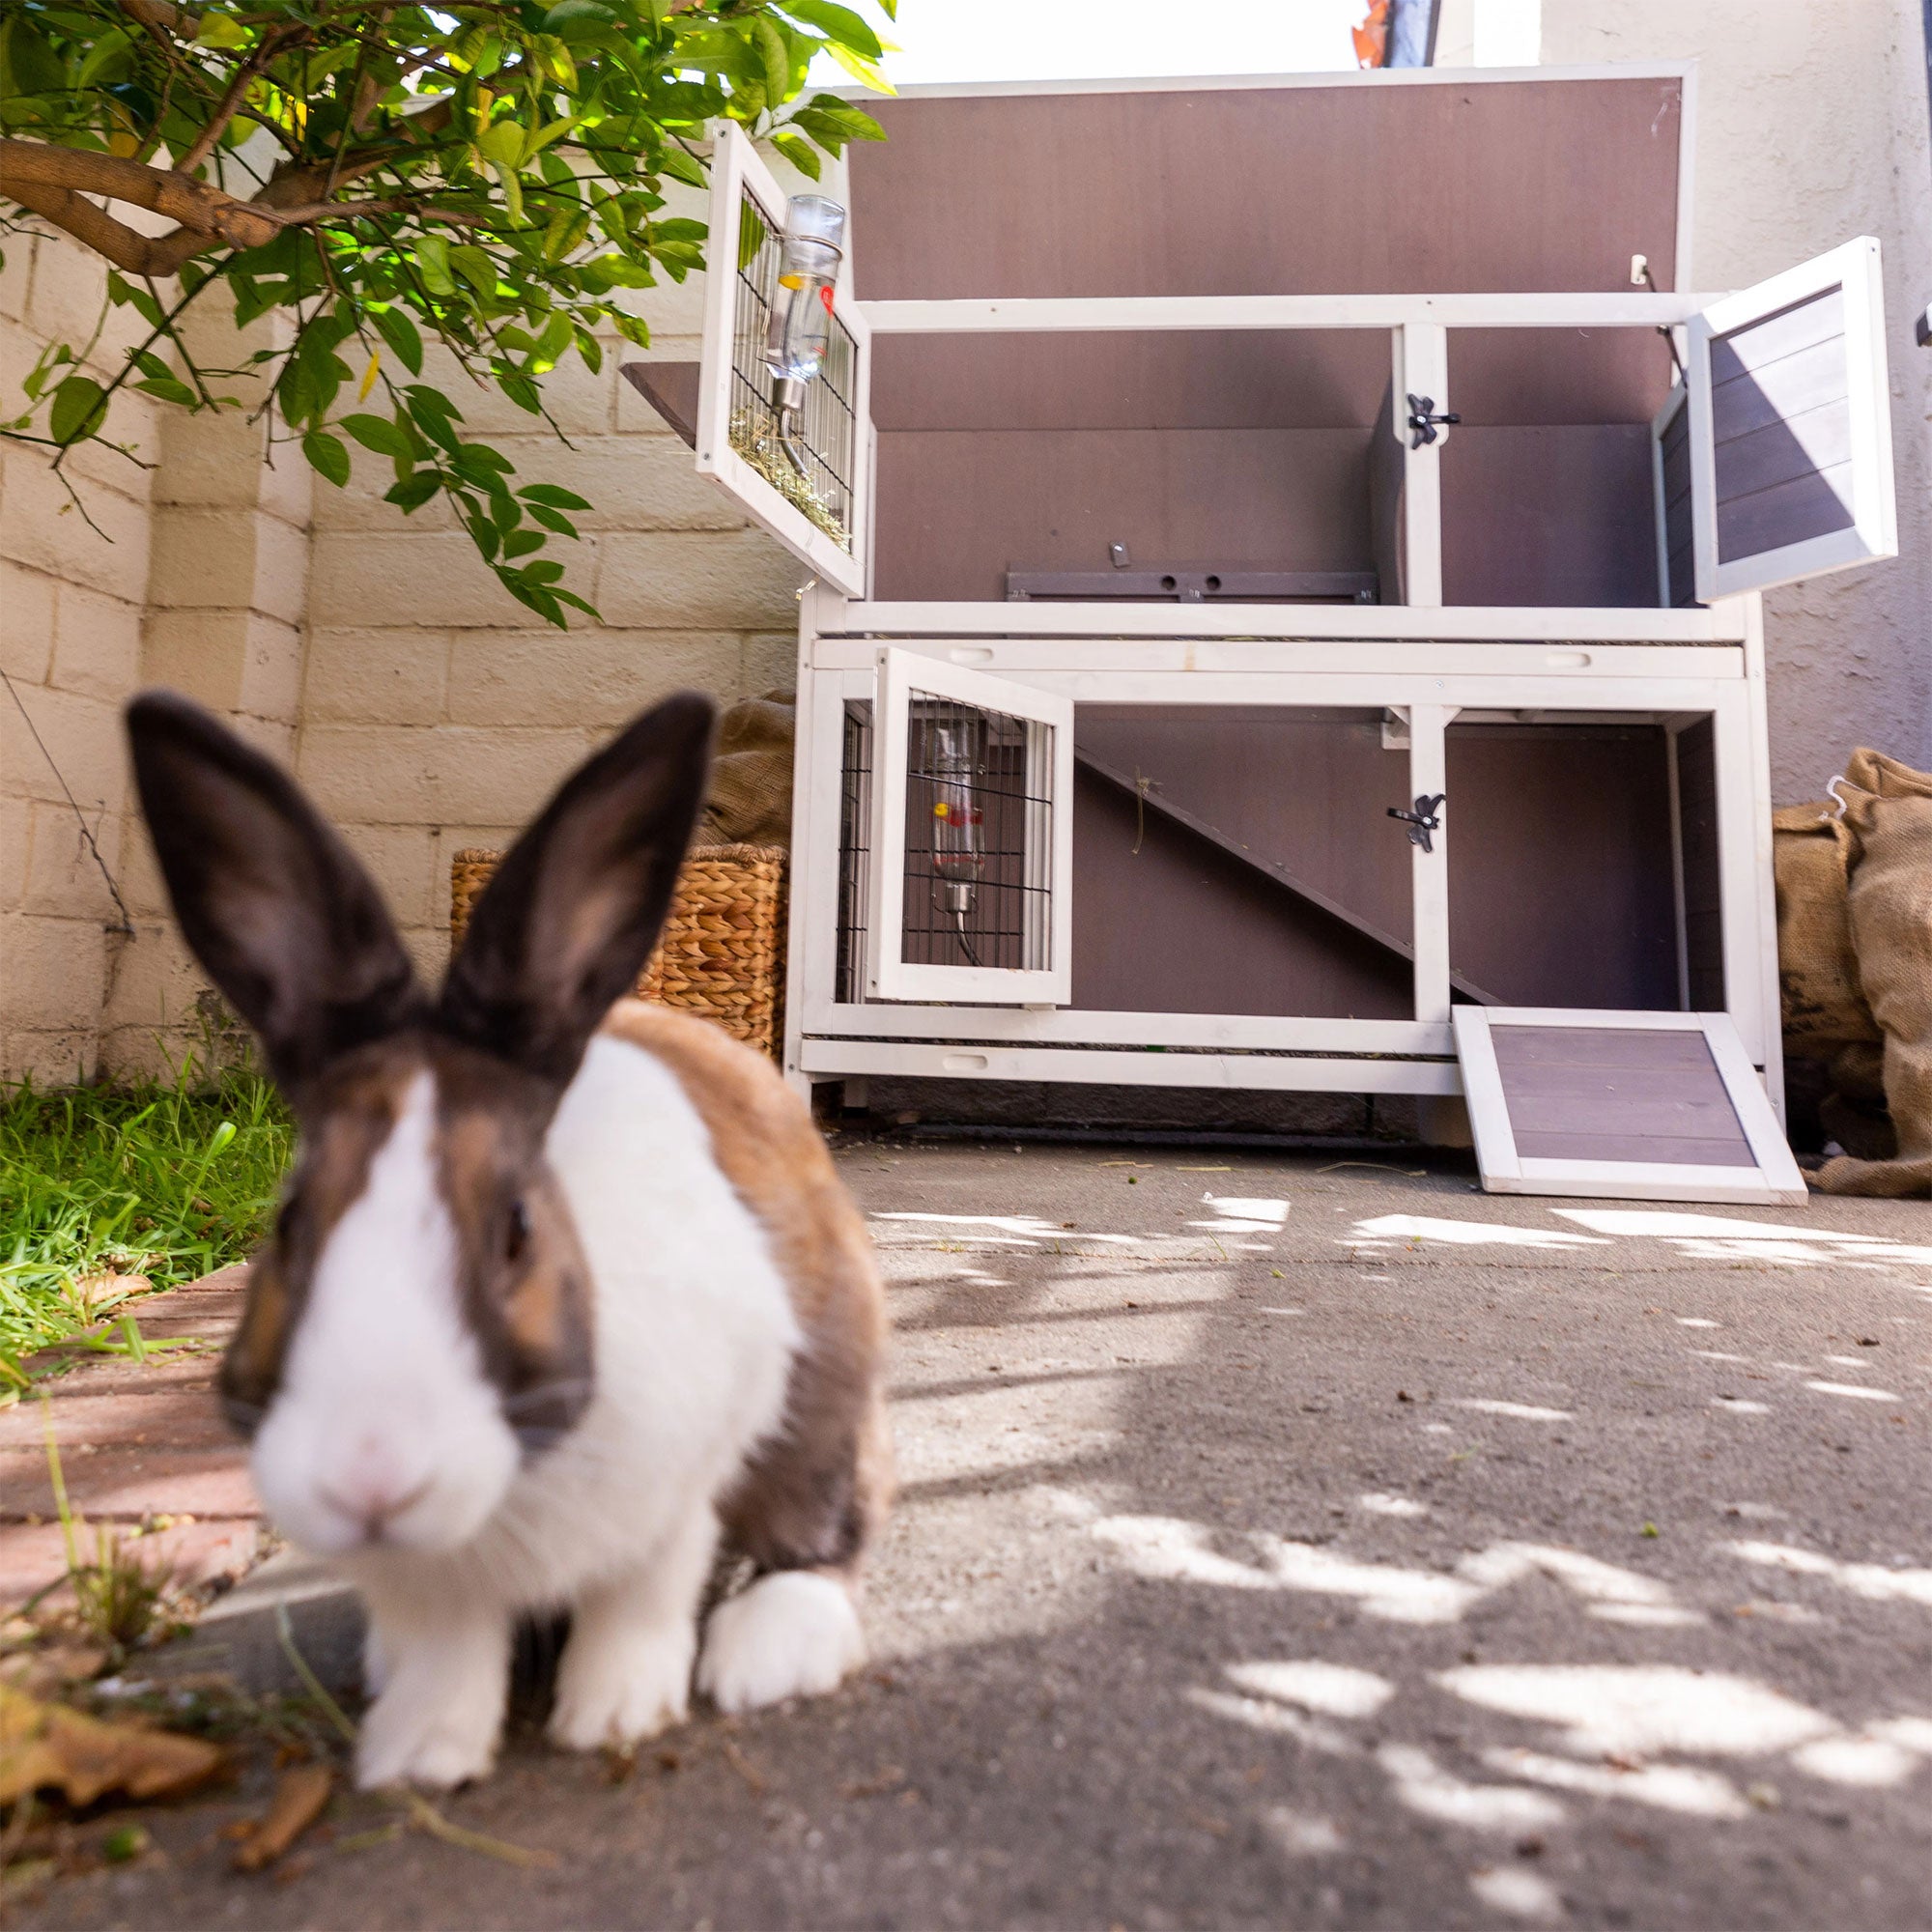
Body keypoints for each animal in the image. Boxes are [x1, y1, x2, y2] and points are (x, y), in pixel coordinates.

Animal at [124, 689, 892, 1791]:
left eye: (518, 1228)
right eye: (288, 1219)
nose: (371, 1474)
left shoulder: (680, 1482)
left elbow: (642, 1599)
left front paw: (612, 1715)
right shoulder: (416, 1581)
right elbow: (443, 1648)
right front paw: (420, 1754)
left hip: (824, 1388)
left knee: (828, 1519)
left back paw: (767, 1653)